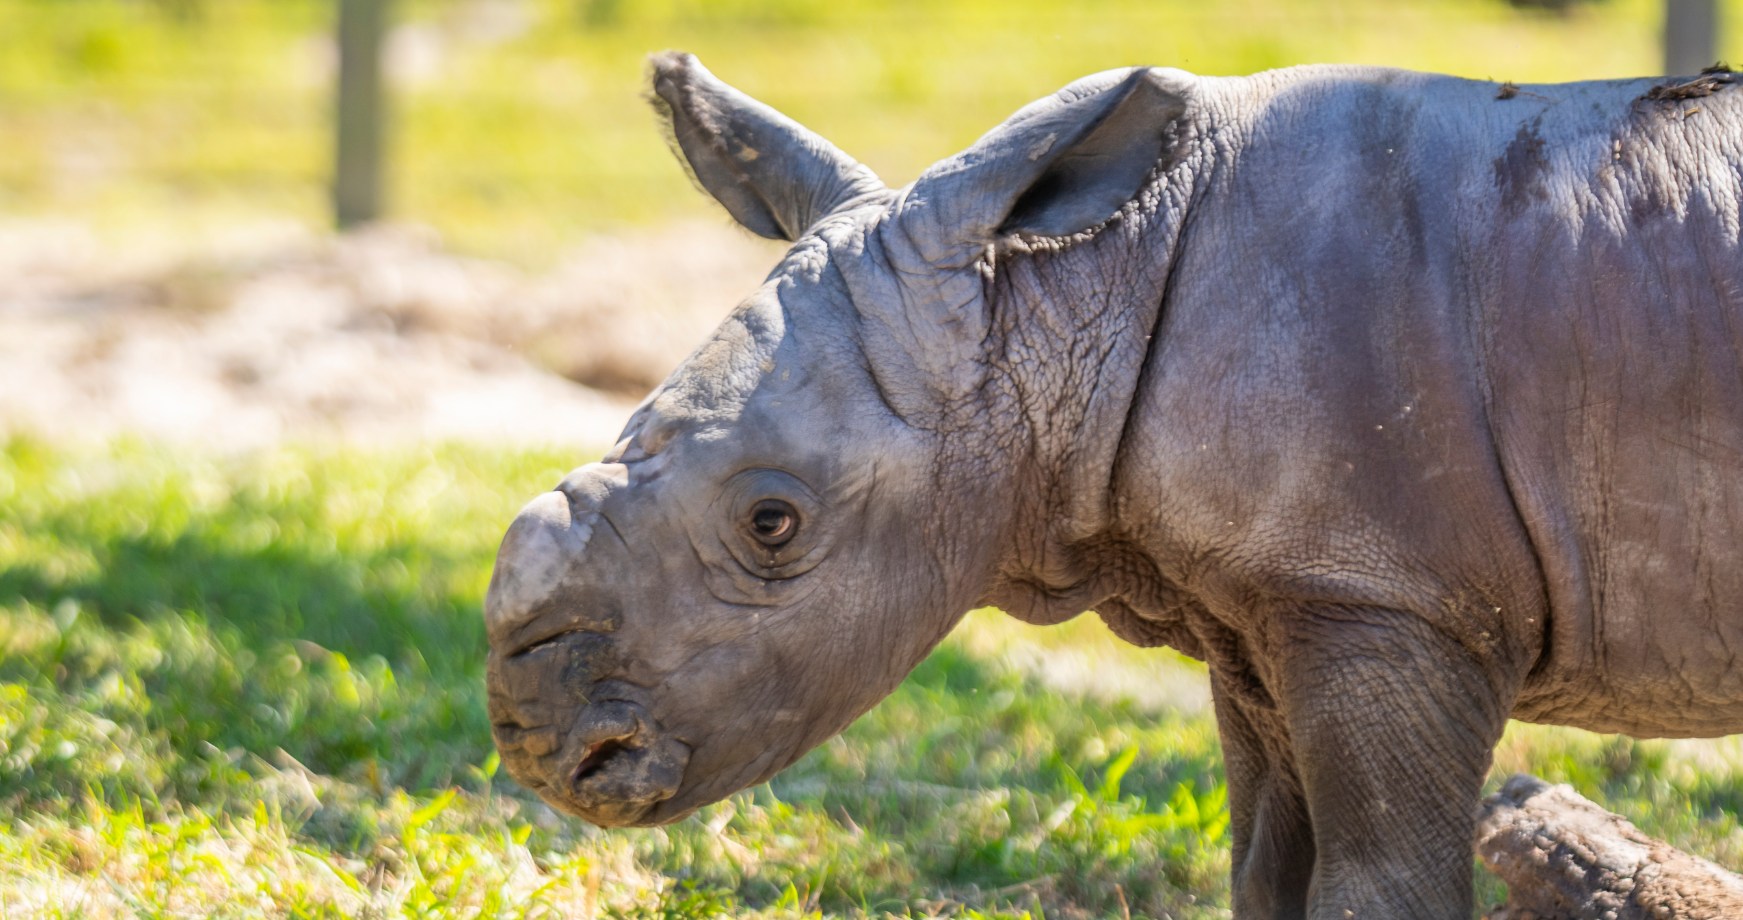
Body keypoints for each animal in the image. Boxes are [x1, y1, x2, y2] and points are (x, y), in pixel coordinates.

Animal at [484, 52, 1743, 920]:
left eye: (771, 521)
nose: (542, 744)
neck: (1066, 292)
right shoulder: (1278, 600)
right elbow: (1266, 875)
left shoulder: (1389, 597)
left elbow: (1379, 883)